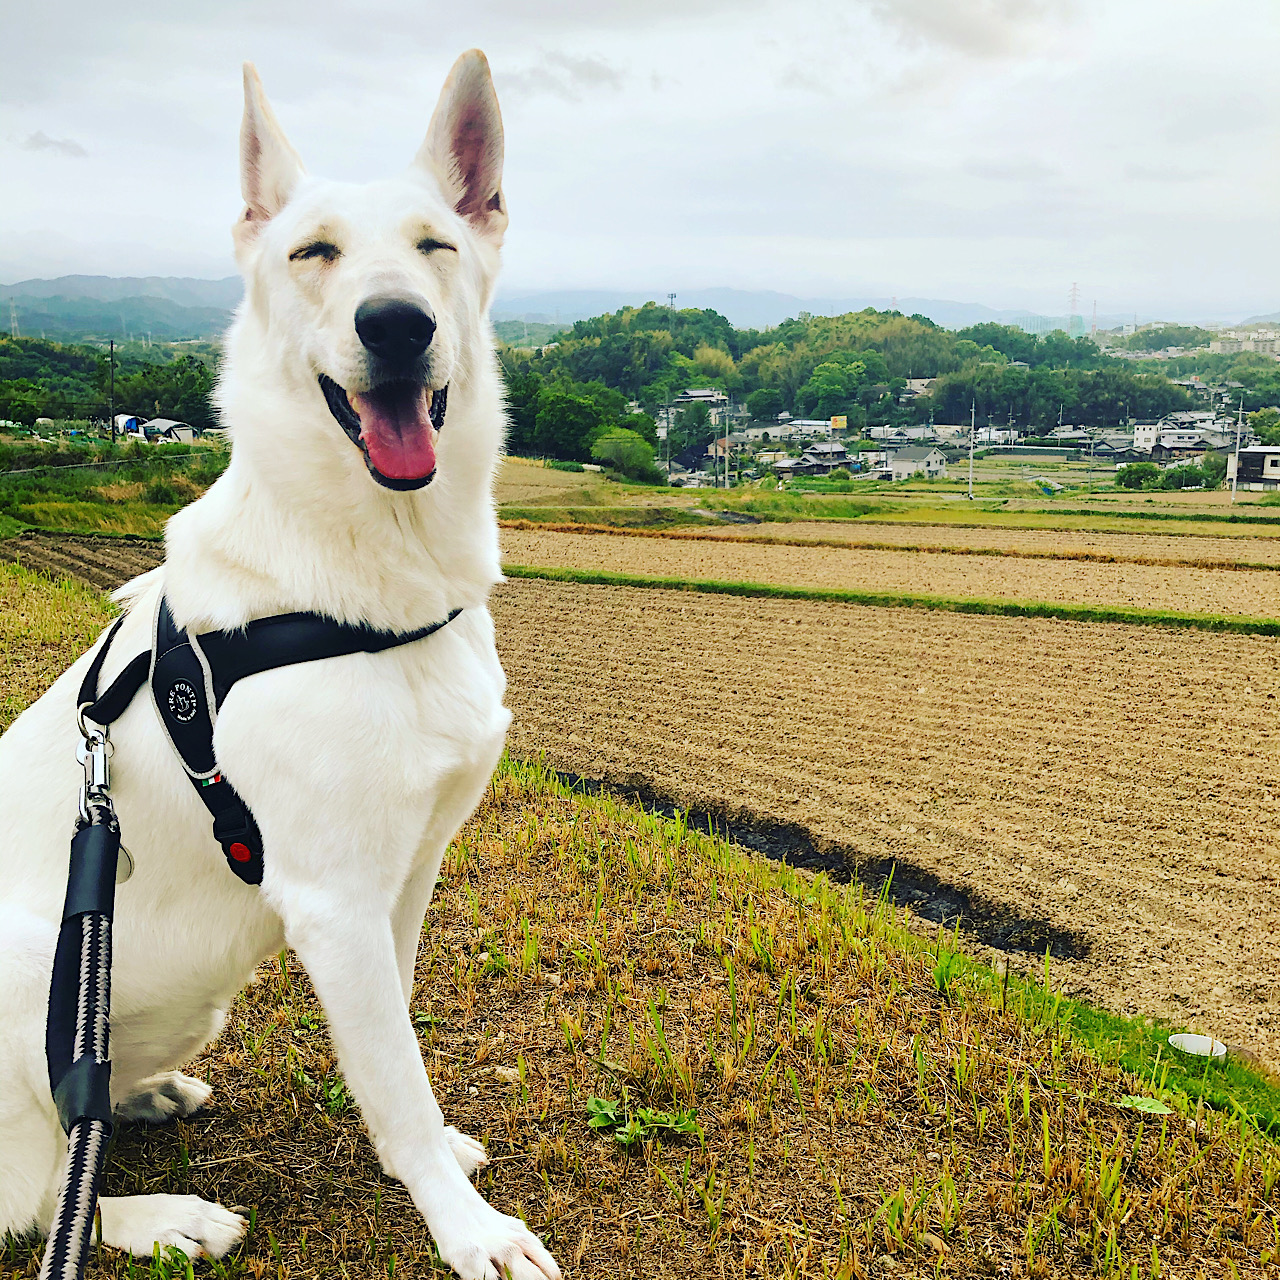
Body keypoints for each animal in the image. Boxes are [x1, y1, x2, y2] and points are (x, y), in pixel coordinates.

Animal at [0, 49, 560, 1280]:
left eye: (435, 245)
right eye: (313, 253)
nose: (396, 324)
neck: (371, 569)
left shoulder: (405, 875)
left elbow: (396, 1052)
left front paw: (425, 1159)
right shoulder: (333, 902)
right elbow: (394, 1074)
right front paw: (465, 1225)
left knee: (77, 1113)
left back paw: (137, 1096)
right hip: (28, 970)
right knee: (32, 1195)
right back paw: (158, 1217)